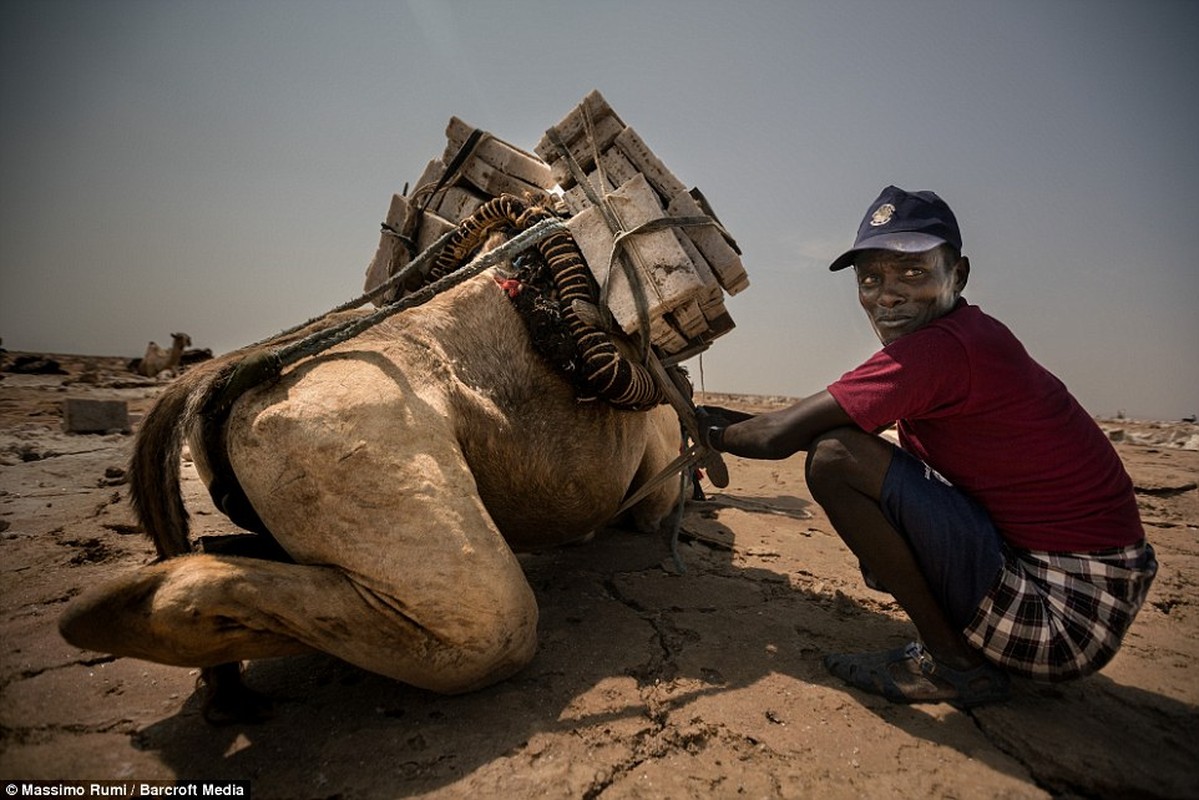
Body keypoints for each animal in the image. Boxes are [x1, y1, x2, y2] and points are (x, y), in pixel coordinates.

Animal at [58, 217, 695, 714]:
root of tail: (216, 379)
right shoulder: (660, 455)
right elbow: (647, 510)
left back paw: (216, 684)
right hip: (349, 451)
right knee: (487, 623)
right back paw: (107, 614)